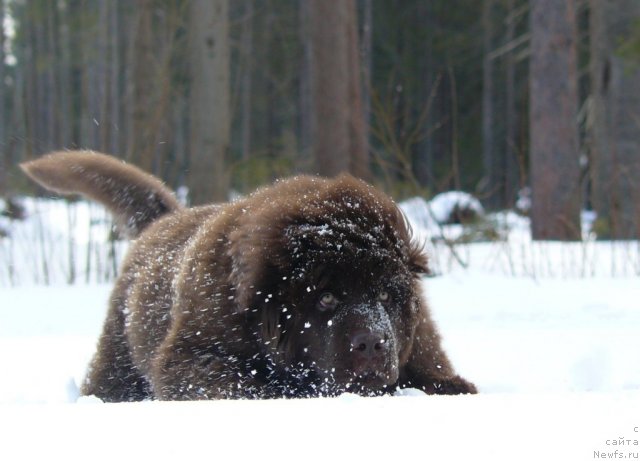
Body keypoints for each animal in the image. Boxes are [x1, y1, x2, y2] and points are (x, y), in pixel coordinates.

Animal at [21, 150, 476, 398]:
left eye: (384, 295)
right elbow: (237, 382)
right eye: (326, 298)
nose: (373, 343)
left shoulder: (419, 341)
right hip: (118, 351)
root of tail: (164, 221)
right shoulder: (192, 353)